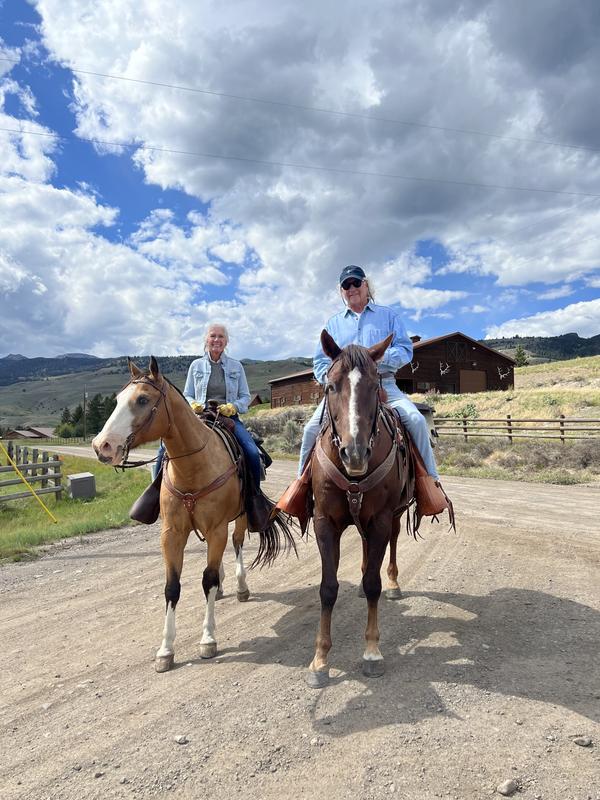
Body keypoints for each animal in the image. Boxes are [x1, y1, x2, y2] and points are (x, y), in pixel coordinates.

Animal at [91, 356, 296, 668]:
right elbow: (172, 587)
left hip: (240, 518)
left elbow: (207, 579)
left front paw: (208, 639)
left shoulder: (217, 527)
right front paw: (165, 650)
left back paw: (240, 587)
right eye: (116, 400)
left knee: (236, 544)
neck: (194, 467)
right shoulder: (172, 533)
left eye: (142, 399)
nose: (102, 445)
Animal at [308, 332, 414, 688]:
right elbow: (328, 588)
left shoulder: (380, 520)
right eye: (330, 386)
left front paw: (371, 652)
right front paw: (320, 660)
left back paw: (394, 584)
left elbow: (372, 585)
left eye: (375, 383)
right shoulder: (324, 522)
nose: (353, 453)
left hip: (393, 516)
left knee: (390, 546)